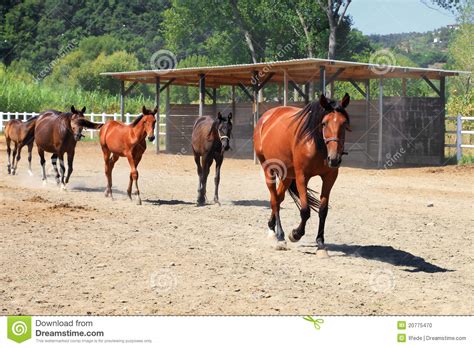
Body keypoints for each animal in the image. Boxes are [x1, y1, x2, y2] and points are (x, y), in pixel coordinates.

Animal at [254, 94, 350, 254]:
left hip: (287, 175)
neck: (316, 143)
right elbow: (305, 211)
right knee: (274, 200)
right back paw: (279, 236)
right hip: (269, 169)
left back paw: (272, 227)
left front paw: (320, 243)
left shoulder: (330, 177)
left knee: (278, 199)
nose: (334, 158)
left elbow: (323, 210)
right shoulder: (302, 177)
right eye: (324, 123)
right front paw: (295, 234)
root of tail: (265, 118)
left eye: (344, 124)